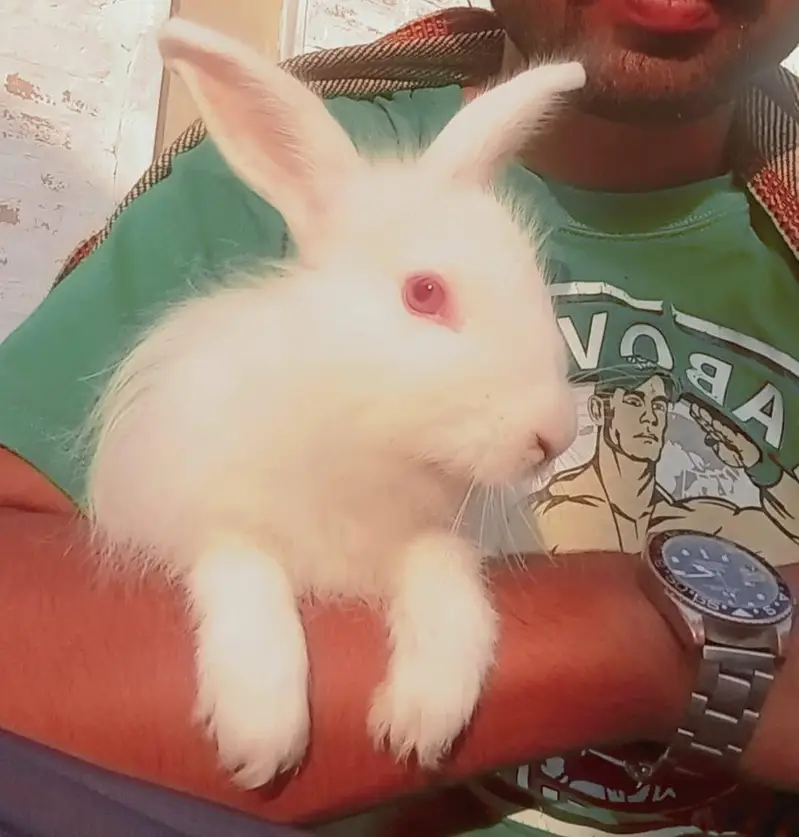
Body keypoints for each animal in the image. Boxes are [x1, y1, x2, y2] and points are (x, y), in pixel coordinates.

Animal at [84, 16, 584, 791]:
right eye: (424, 293)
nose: (552, 435)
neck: (361, 434)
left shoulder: (434, 539)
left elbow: (449, 586)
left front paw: (419, 721)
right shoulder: (205, 516)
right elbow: (245, 571)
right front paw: (260, 731)